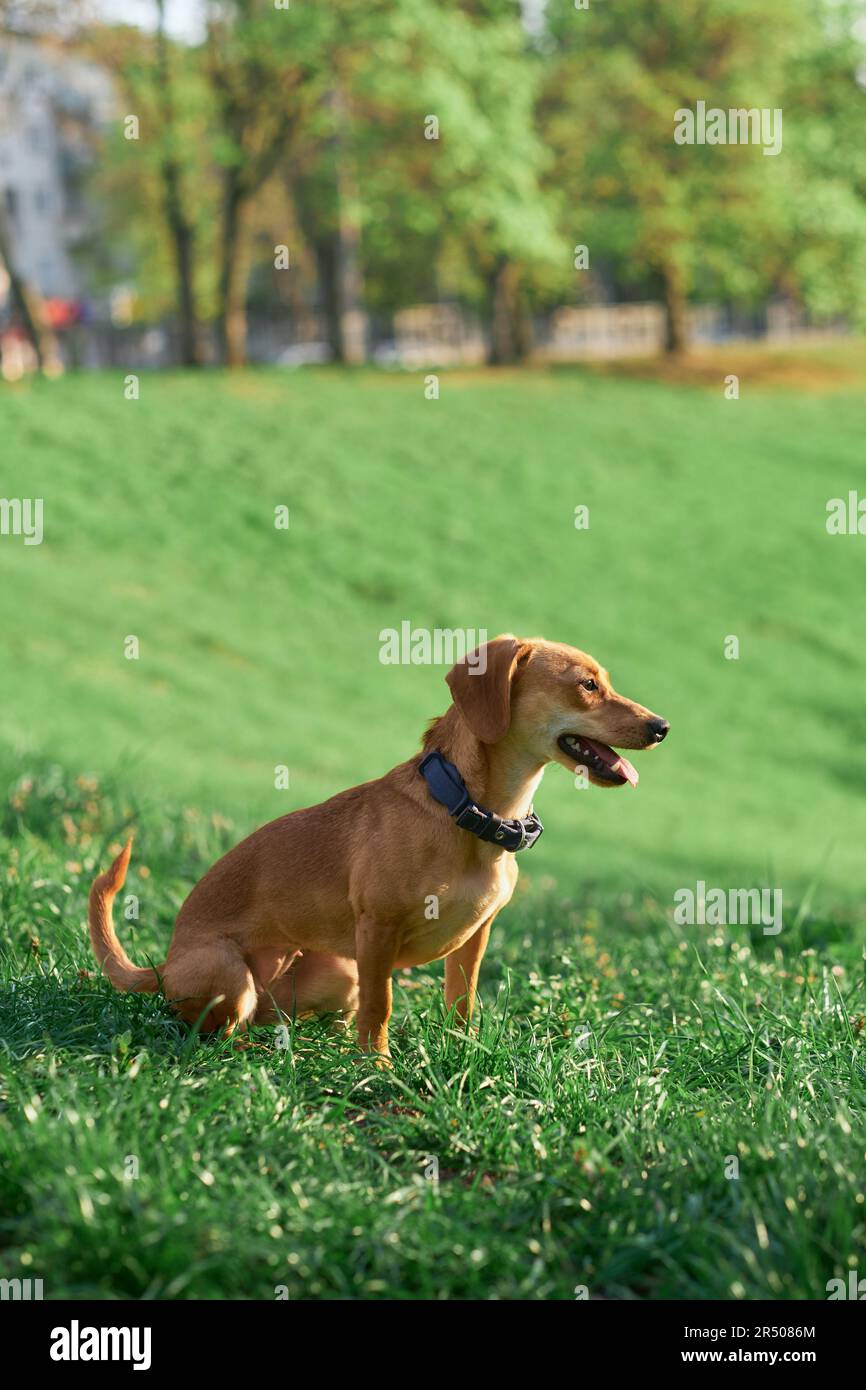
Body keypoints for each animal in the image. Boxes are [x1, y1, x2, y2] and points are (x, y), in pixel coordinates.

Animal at [88, 636, 667, 1056]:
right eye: (586, 685)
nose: (661, 726)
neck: (467, 811)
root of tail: (160, 969)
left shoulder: (475, 938)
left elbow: (462, 1004)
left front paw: (459, 1055)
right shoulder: (379, 930)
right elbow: (382, 1005)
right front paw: (378, 1067)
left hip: (336, 972)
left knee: (299, 1019)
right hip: (232, 974)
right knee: (214, 1028)